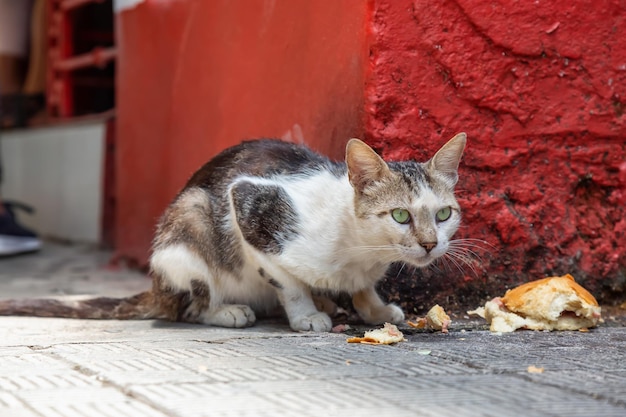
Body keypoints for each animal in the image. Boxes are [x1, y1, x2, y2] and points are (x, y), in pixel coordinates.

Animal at [0, 133, 464, 332]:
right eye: (400, 215)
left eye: (443, 214)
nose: (430, 244)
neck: (361, 252)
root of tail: (155, 288)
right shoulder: (249, 207)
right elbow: (287, 282)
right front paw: (305, 315)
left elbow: (363, 288)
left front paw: (375, 308)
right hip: (187, 225)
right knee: (188, 307)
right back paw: (228, 311)